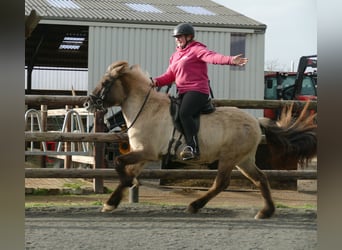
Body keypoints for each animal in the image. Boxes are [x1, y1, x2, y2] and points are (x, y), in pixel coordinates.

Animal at [83, 60, 318, 219]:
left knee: (222, 183)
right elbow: (127, 171)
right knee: (260, 178)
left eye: (106, 82)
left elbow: (120, 164)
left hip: (229, 158)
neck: (147, 109)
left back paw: (195, 205)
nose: (88, 103)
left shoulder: (146, 152)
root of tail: (255, 121)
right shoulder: (143, 154)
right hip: (244, 160)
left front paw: (117, 196)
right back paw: (266, 212)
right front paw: (112, 201)